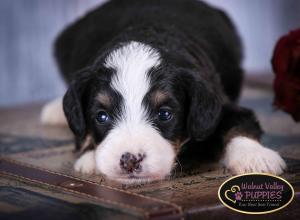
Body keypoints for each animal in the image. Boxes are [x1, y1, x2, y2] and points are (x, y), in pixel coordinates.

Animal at [40, 0, 286, 183]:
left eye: (164, 114)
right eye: (101, 116)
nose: (130, 160)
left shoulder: (218, 106)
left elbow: (239, 123)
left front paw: (256, 157)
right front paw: (90, 155)